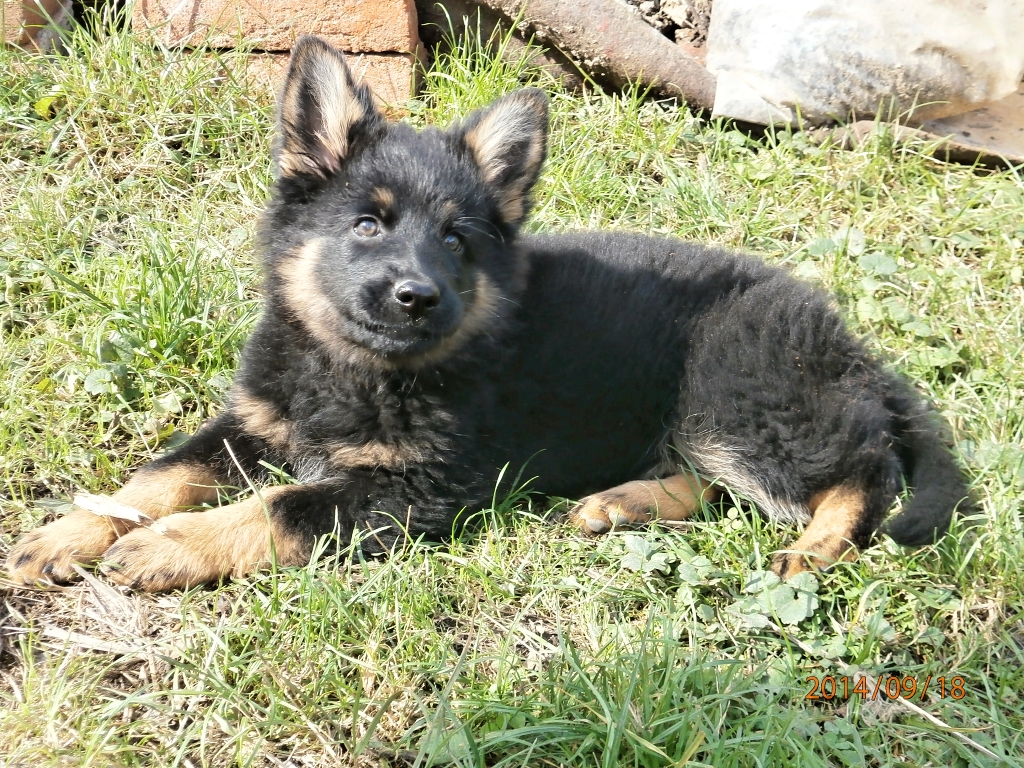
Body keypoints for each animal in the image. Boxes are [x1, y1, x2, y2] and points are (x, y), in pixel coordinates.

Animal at [6, 36, 970, 592]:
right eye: (367, 224)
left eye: (456, 240)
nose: (415, 296)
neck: (353, 370)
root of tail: (851, 347)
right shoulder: (254, 421)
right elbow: (155, 476)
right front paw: (74, 529)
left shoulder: (416, 487)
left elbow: (277, 507)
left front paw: (170, 546)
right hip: (706, 419)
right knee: (721, 483)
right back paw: (617, 503)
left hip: (734, 392)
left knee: (863, 469)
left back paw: (816, 548)